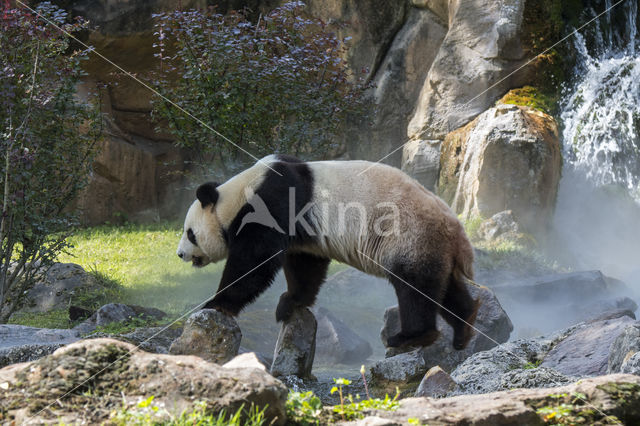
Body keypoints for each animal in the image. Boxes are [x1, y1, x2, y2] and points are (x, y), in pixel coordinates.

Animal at [178, 155, 478, 348]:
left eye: (190, 232)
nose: (181, 255)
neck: (238, 194)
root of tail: (458, 233)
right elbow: (305, 265)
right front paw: (289, 303)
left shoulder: (271, 205)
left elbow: (253, 263)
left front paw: (215, 303)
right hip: (433, 246)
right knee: (444, 286)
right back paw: (464, 325)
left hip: (410, 235)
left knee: (415, 288)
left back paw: (411, 337)